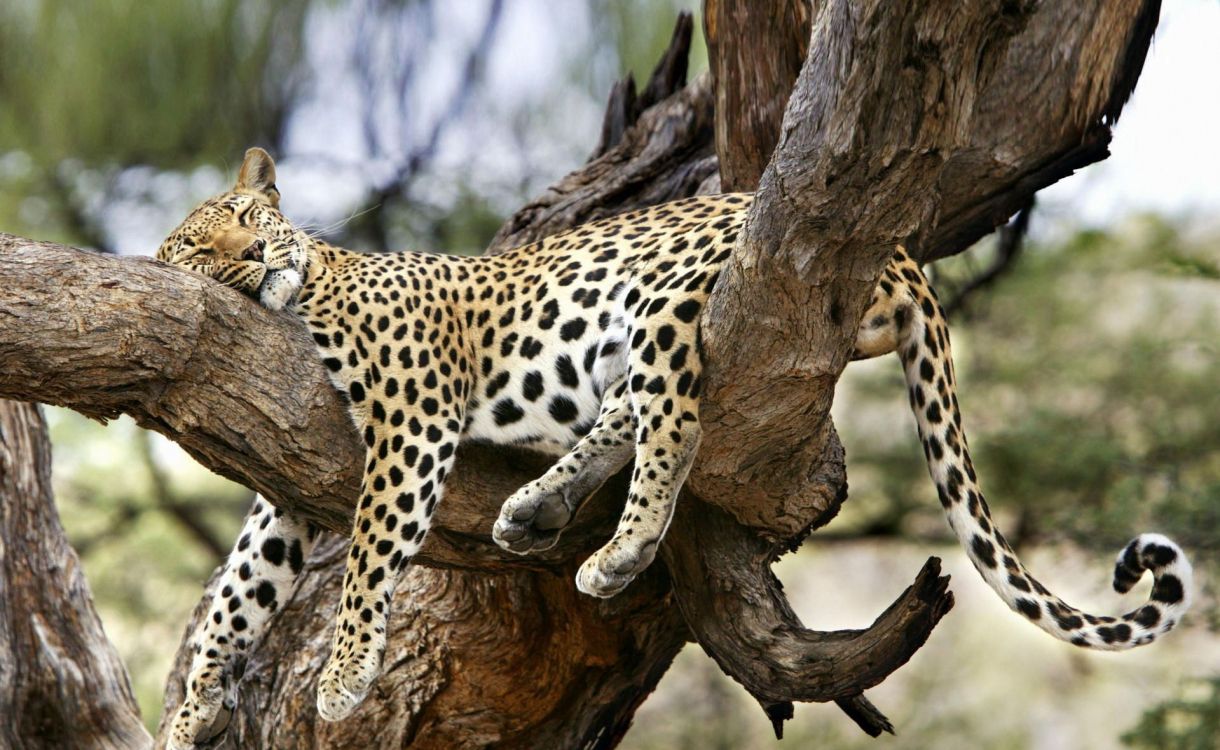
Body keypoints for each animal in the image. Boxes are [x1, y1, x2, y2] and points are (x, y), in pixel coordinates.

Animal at [154, 148, 1190, 750]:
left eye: (247, 222)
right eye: (199, 251)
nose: (255, 260)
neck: (309, 291)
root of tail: (901, 253)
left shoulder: (411, 422)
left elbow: (370, 553)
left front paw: (342, 676)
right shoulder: (286, 487)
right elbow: (239, 590)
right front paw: (190, 708)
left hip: (662, 297)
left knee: (675, 423)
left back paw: (615, 553)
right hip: (620, 343)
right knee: (628, 414)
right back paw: (536, 509)